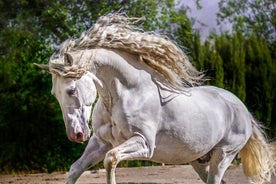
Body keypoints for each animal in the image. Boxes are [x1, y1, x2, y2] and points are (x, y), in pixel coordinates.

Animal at [35, 13, 274, 183]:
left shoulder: (143, 143)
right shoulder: (100, 143)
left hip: (223, 156)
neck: (126, 94)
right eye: (55, 94)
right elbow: (75, 170)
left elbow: (111, 160)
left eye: (71, 90)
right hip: (198, 160)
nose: (76, 134)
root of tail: (243, 110)